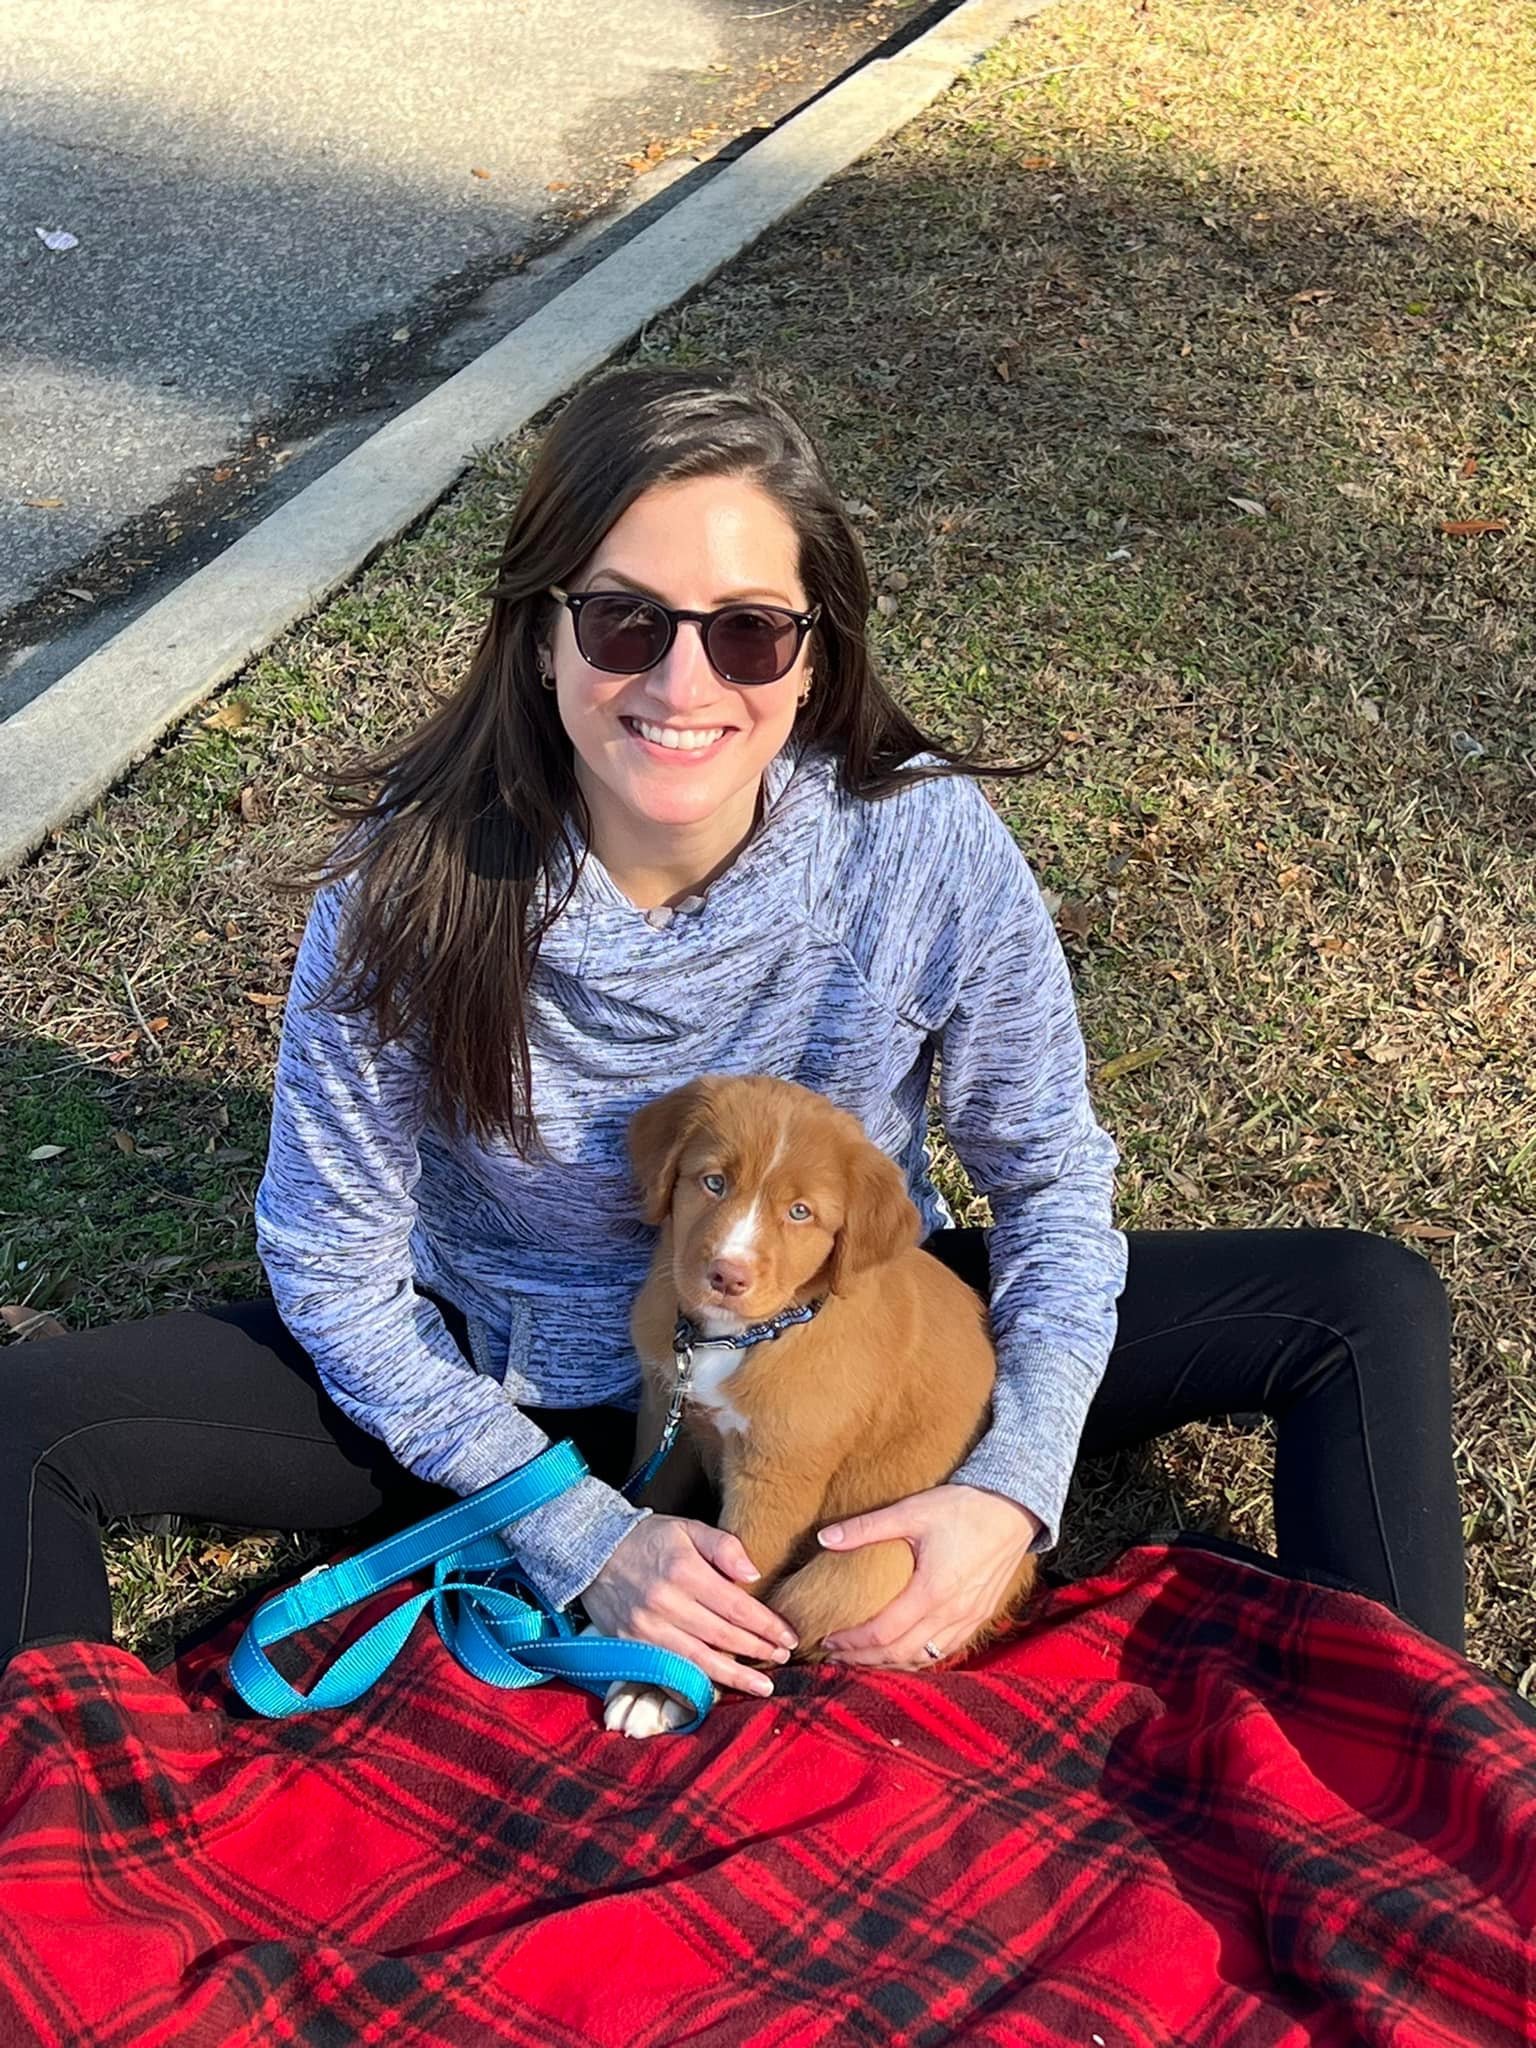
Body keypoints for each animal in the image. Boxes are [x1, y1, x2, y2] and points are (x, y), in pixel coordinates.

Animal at [602, 1081, 1036, 1736]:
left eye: (800, 1213)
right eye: (713, 1182)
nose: (726, 1274)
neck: (735, 1339)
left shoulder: (777, 1480)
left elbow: (736, 1591)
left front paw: (657, 1688)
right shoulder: (666, 1419)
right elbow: (652, 1518)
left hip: (860, 1571)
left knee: (784, 1636)